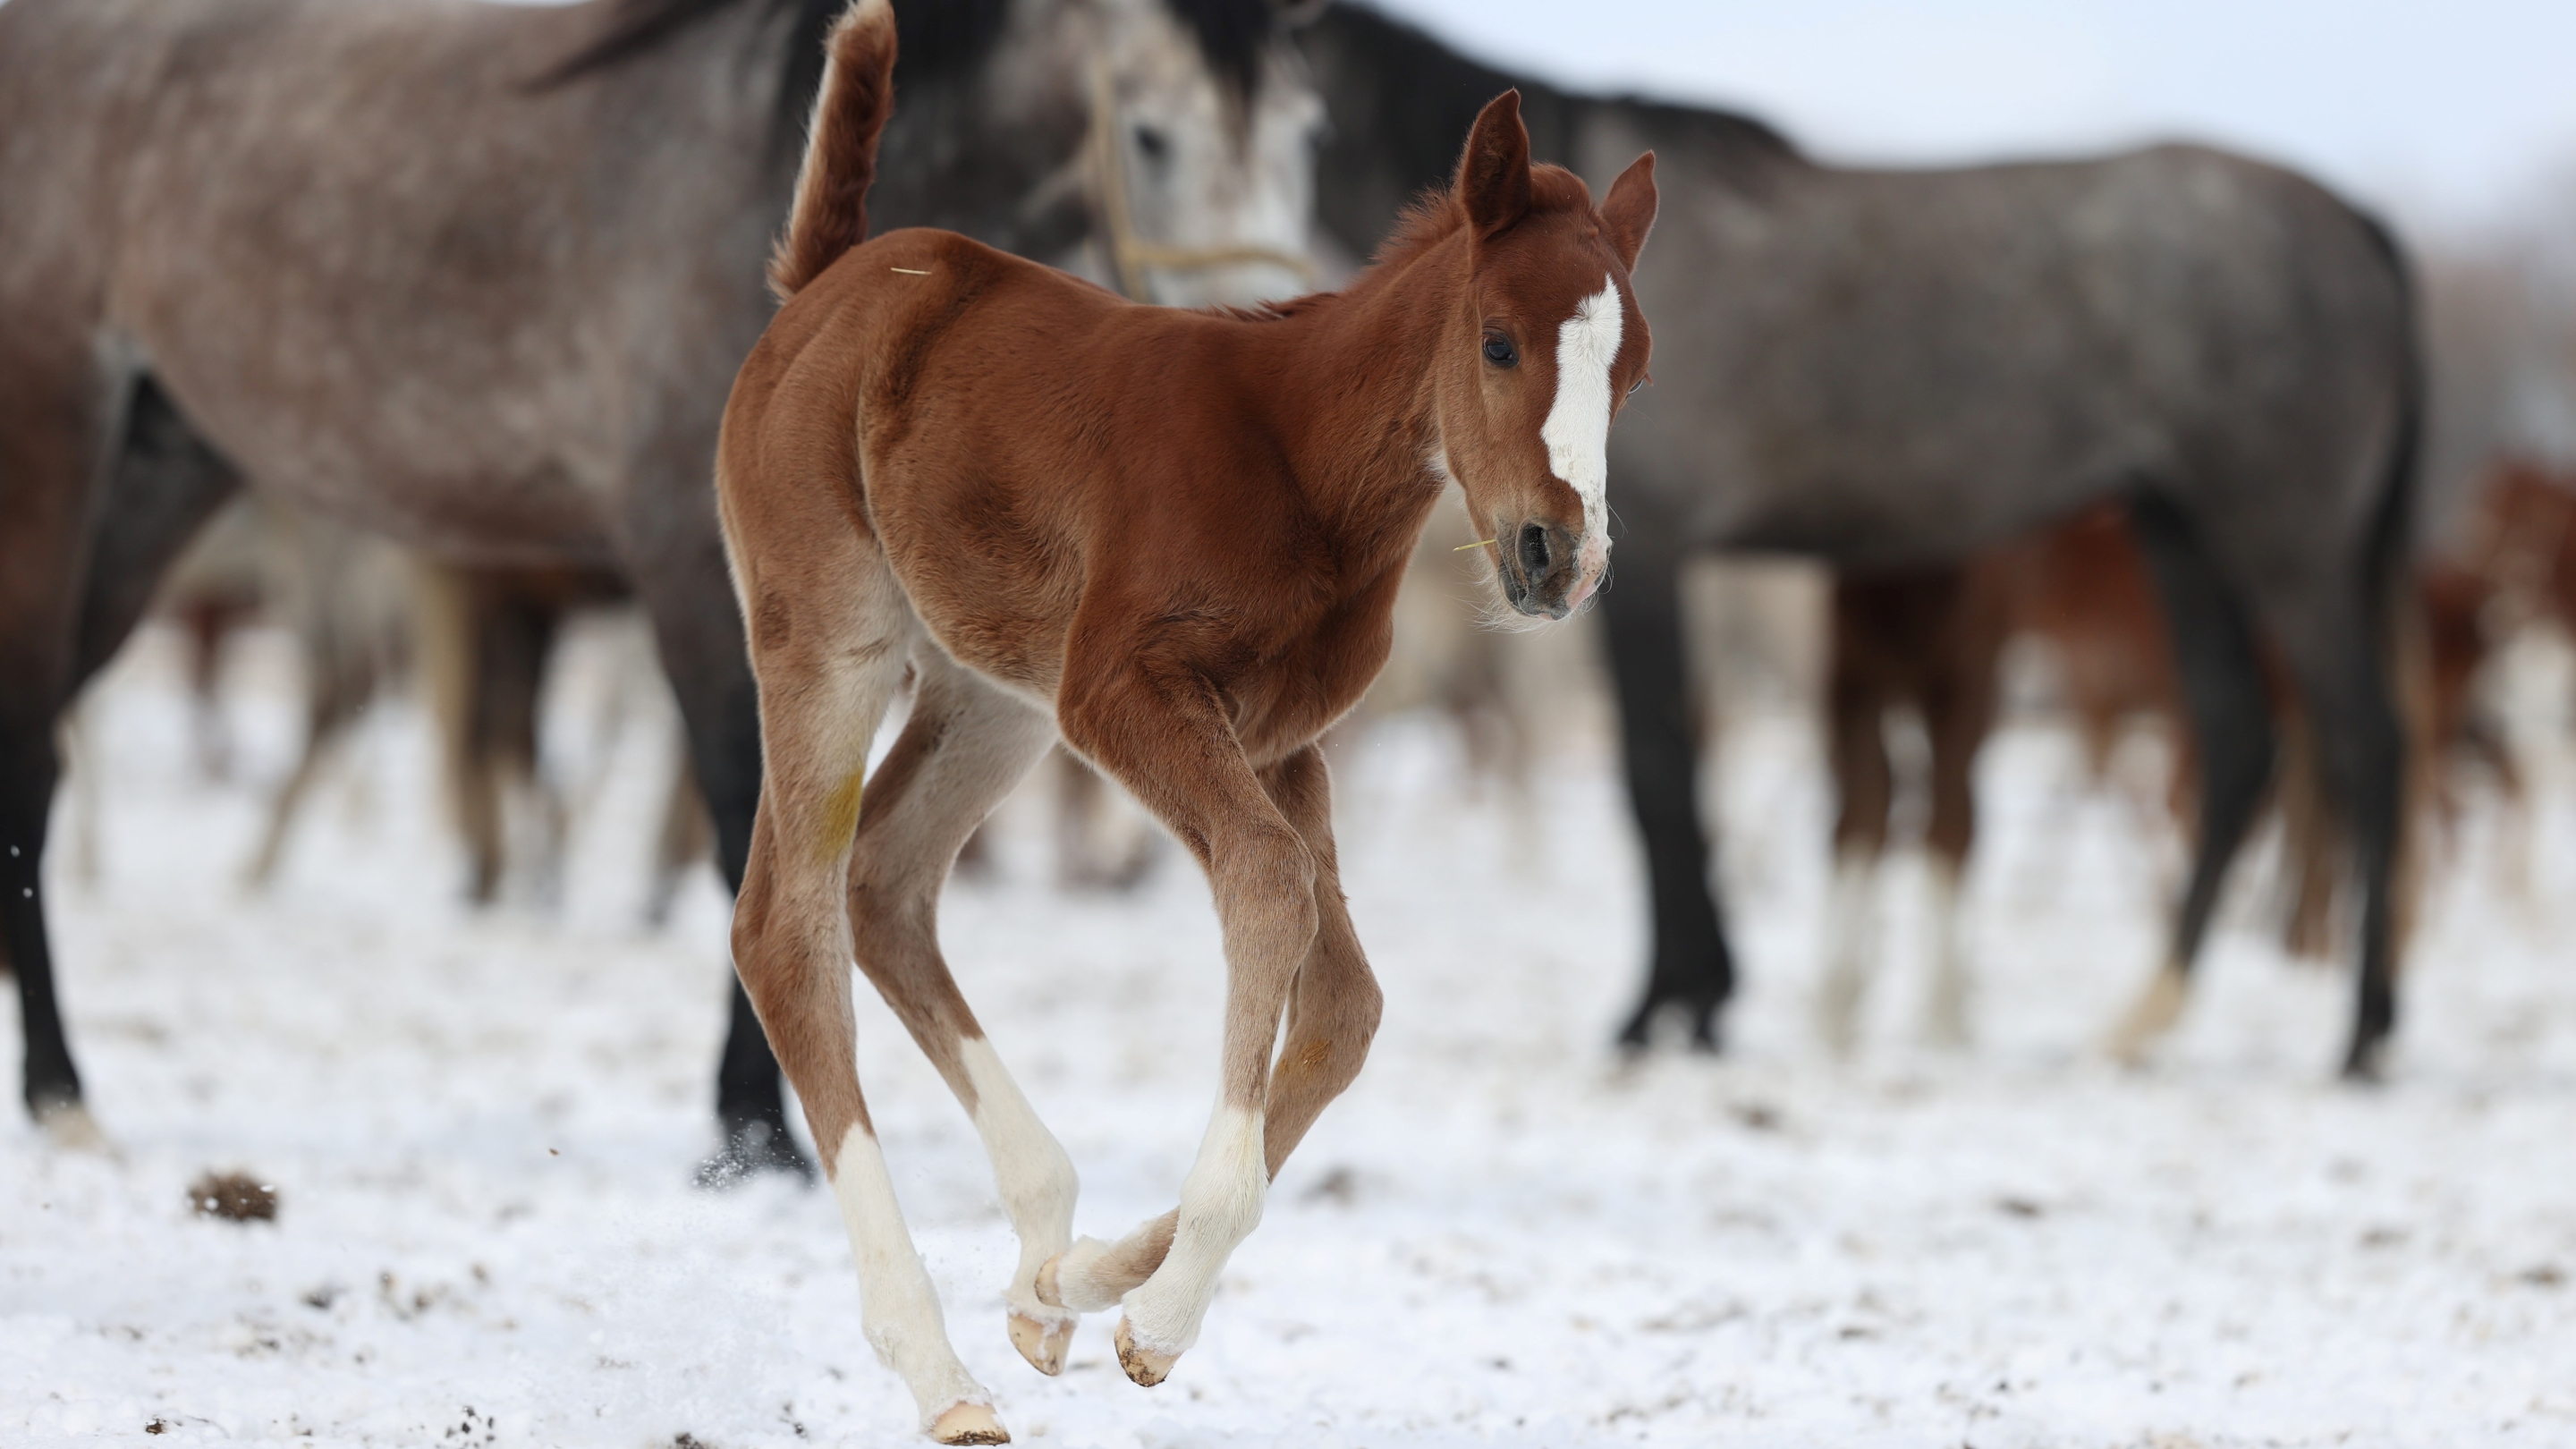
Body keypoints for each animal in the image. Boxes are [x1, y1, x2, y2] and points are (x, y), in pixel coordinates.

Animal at [0, 0, 1318, 1165]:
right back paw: (65, 1098)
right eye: (1149, 131)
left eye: (1300, 133)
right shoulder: (697, 571)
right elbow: (749, 817)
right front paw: (755, 1133)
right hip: (57, 457)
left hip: (151, 481)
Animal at [716, 0, 1658, 1433]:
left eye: (1634, 370)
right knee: (786, 927)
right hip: (835, 642)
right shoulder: (1127, 693)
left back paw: (1041, 1255)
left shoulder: (1282, 737)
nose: (1563, 558)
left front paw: (1087, 1285)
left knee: (884, 884)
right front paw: (1157, 1313)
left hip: (994, 695)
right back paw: (936, 1368)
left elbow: (1348, 1003)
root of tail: (825, 285)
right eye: (1499, 339)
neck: (1299, 460)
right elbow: (1269, 889)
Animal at [1309, 3, 2411, 1072]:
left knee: (2367, 741)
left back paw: (2360, 1034)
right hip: (2183, 537)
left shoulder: (1650, 556)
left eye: (1633, 371)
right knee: (2239, 747)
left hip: (2285, 546)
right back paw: (2146, 1017)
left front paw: (1669, 1008)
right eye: (1497, 344)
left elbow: (1660, 770)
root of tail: (2352, 221)